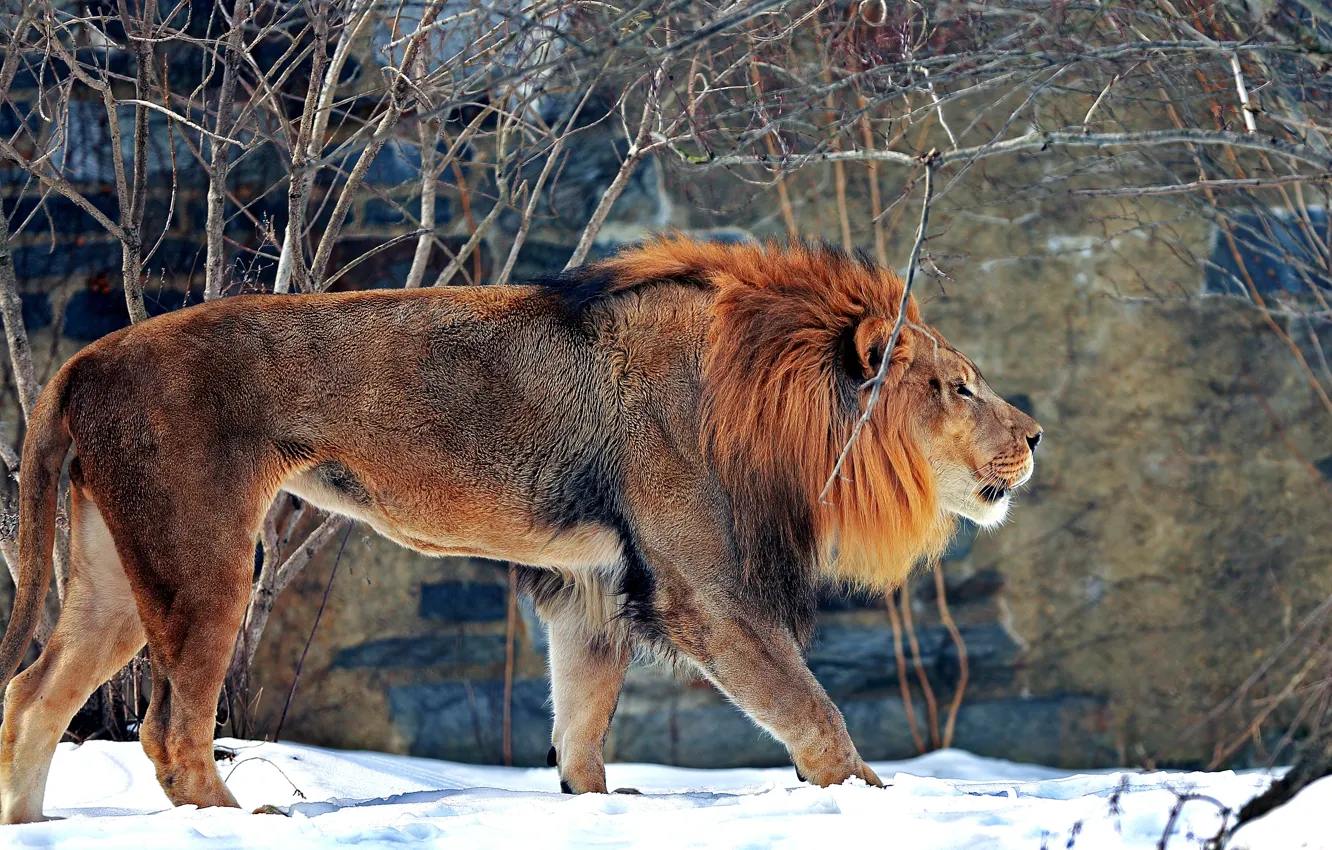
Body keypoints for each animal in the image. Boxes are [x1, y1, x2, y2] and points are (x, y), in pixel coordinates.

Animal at [0, 237, 1038, 820]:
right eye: (958, 388)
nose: (1034, 435)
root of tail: (85, 357)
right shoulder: (704, 594)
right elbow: (814, 712)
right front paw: (873, 802)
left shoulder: (591, 588)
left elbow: (580, 721)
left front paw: (595, 804)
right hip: (208, 557)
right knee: (169, 730)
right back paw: (245, 820)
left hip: (114, 571)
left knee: (35, 694)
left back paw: (38, 825)